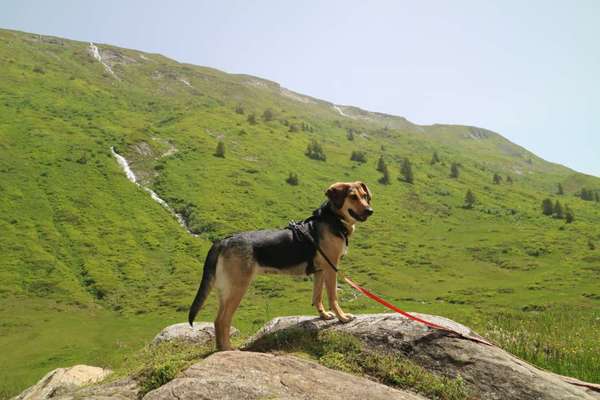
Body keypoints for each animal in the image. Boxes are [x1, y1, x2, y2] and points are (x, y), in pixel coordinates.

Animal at [189, 181, 376, 350]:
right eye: (353, 197)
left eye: (365, 196)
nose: (370, 211)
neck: (332, 219)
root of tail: (223, 241)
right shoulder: (331, 268)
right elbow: (333, 297)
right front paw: (342, 317)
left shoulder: (320, 271)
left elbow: (317, 297)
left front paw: (323, 315)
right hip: (237, 287)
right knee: (222, 320)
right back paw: (227, 349)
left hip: (225, 290)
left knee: (218, 320)